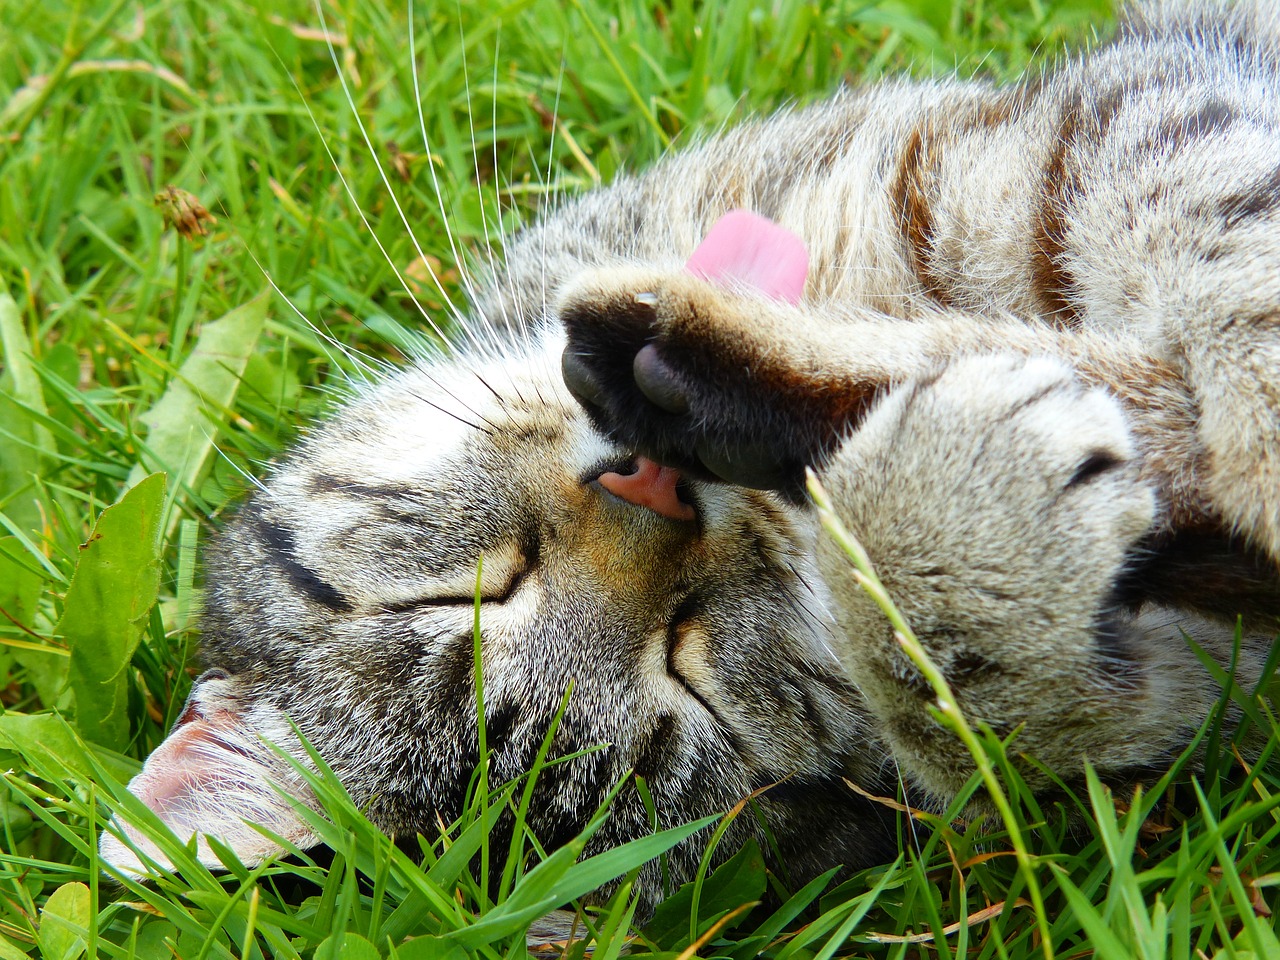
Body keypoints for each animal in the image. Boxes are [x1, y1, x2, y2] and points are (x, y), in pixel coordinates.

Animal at [102, 0, 1280, 916]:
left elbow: (1224, 258)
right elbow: (1008, 725)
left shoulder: (1080, 135)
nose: (658, 488)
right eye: (689, 674)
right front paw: (953, 527)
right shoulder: (1193, 691)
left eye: (466, 593)